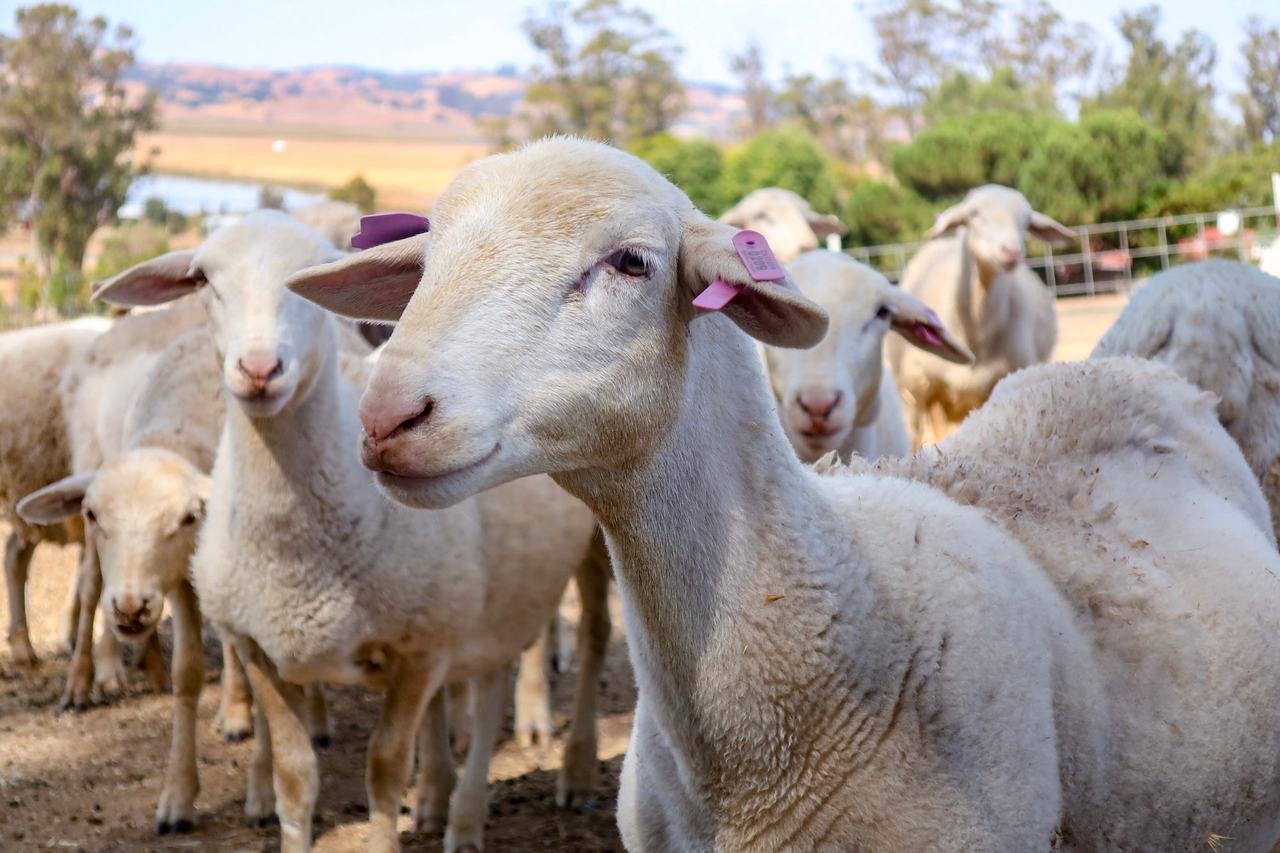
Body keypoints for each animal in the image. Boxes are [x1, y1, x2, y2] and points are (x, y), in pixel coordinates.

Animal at [93, 210, 609, 853]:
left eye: (308, 281)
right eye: (203, 279)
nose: (259, 370)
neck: (296, 553)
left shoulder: (419, 652)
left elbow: (385, 771)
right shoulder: (259, 646)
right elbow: (294, 778)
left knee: (592, 637)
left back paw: (567, 773)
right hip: (492, 588)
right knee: (490, 682)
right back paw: (450, 809)